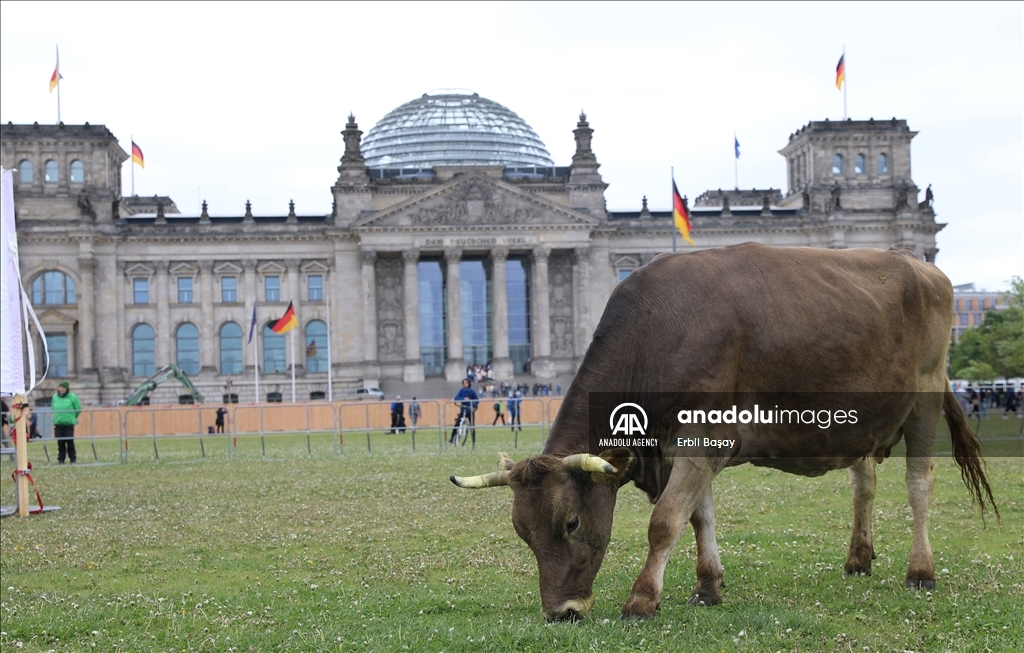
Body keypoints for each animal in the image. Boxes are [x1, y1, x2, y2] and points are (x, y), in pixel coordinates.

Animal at [452, 245, 995, 622]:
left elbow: (666, 521)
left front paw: (641, 601)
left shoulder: (701, 440)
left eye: (571, 523)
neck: (657, 338)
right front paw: (707, 588)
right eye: (522, 531)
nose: (562, 612)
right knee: (865, 485)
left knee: (919, 485)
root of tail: (917, 262)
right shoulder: (684, 448)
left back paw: (920, 571)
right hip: (863, 423)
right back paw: (858, 558)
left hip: (924, 398)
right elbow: (699, 518)